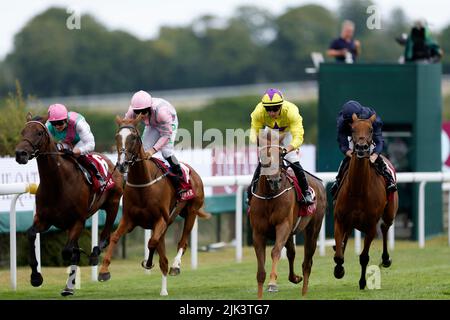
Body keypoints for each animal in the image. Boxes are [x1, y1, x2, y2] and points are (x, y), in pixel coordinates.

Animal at [14, 114, 123, 296]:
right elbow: (31, 234)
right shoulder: (44, 220)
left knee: (106, 236)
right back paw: (69, 286)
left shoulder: (77, 221)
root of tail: (109, 160)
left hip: (113, 204)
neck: (58, 183)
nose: (20, 154)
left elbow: (67, 251)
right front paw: (36, 277)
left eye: (39, 133)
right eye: (23, 131)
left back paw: (95, 256)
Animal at [97, 115, 210, 296]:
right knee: (162, 252)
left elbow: (152, 243)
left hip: (191, 212)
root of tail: (193, 172)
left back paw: (175, 267)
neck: (143, 185)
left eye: (133, 137)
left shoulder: (160, 220)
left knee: (182, 242)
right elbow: (115, 237)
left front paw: (149, 263)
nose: (122, 164)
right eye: (117, 137)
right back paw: (164, 287)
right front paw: (103, 271)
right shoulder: (129, 220)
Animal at [250, 129, 326, 298]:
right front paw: (260, 292)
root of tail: (318, 183)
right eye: (263, 155)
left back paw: (304, 291)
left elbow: (275, 251)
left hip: (313, 228)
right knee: (292, 253)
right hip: (291, 232)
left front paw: (272, 283)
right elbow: (260, 266)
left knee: (307, 261)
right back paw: (295, 278)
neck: (269, 196)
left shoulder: (283, 225)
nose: (274, 181)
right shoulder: (258, 232)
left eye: (280, 154)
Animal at [332, 113, 400, 290]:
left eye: (370, 129)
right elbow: (339, 255)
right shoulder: (340, 220)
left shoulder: (370, 227)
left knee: (385, 227)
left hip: (389, 213)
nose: (361, 147)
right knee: (345, 238)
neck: (358, 190)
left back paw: (386, 259)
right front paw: (339, 269)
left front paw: (362, 282)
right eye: (353, 129)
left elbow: (364, 257)